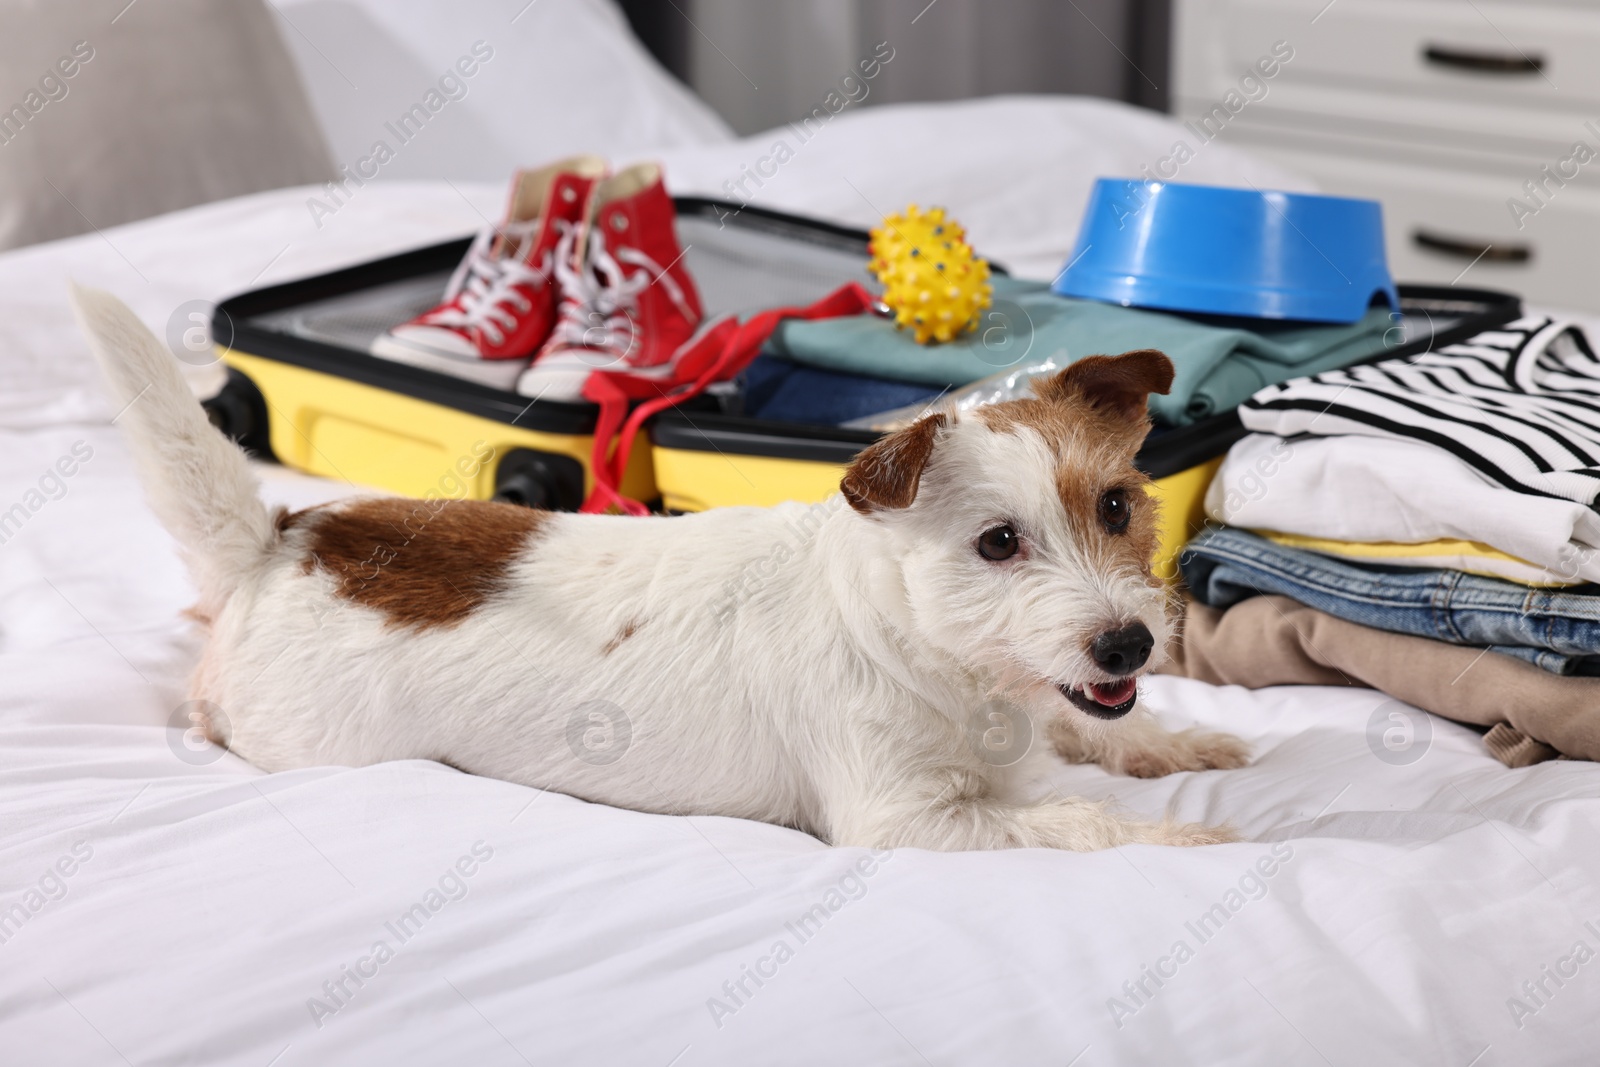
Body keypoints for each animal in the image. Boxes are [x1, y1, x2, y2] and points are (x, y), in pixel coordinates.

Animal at [75, 283, 1248, 851]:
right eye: (999, 542)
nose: (1128, 641)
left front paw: (1175, 739)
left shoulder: (1050, 703)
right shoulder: (905, 820)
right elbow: (1078, 817)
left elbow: (1090, 727)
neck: (926, 649)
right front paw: (1196, 838)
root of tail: (279, 541)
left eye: (1116, 506)